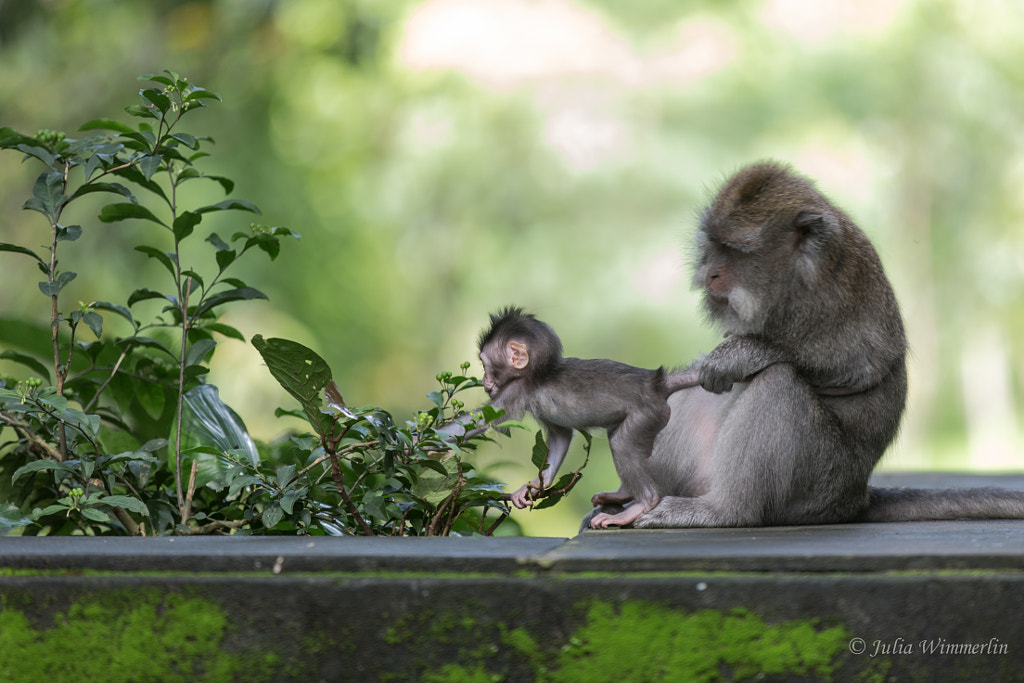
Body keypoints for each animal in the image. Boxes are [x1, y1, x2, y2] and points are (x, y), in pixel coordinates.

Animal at [477, 309, 700, 528]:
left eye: (484, 364)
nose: (484, 381)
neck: (541, 372)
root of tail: (657, 384)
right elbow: (561, 436)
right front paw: (533, 486)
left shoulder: (516, 389)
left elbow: (481, 421)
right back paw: (623, 494)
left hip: (646, 414)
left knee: (621, 443)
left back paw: (642, 504)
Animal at [593, 162, 1024, 532]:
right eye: (713, 245)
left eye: (735, 251)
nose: (709, 273)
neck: (794, 277)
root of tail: (855, 498)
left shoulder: (833, 294)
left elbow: (859, 368)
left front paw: (743, 354)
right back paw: (635, 496)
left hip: (819, 485)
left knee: (779, 382)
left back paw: (724, 511)